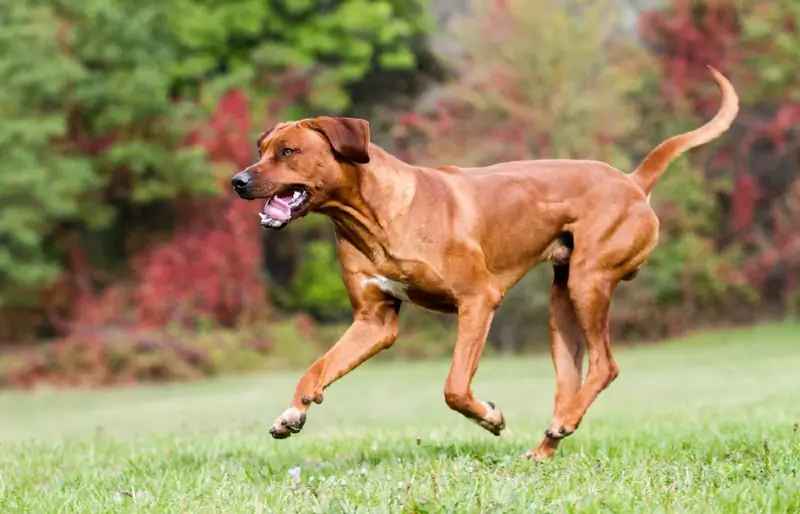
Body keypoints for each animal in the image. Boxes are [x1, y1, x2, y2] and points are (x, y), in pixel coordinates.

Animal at [230, 65, 736, 456]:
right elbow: (317, 367)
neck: (373, 216)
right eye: (261, 150)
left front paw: (490, 417)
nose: (238, 181)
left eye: (288, 152)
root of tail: (633, 181)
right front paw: (292, 414)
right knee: (572, 377)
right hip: (562, 305)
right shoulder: (374, 321)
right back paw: (548, 444)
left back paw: (560, 426)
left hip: (589, 281)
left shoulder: (478, 299)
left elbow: (454, 386)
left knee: (606, 365)